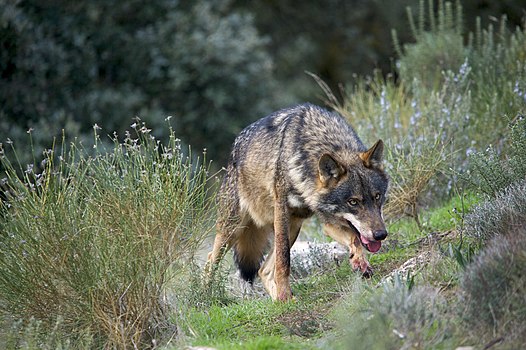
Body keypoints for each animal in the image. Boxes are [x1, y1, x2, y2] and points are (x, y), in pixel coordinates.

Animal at [208, 104, 390, 300]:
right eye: (353, 202)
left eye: (377, 197)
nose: (381, 234)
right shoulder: (282, 211)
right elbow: (283, 260)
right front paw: (284, 294)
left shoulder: (328, 221)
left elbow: (354, 239)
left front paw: (360, 262)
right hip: (234, 229)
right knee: (211, 260)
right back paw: (205, 296)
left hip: (293, 227)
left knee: (263, 271)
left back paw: (279, 301)